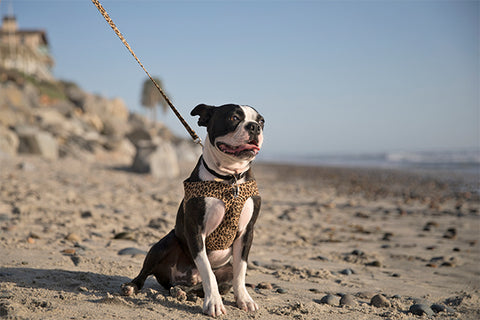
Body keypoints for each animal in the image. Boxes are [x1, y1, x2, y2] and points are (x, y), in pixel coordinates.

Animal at [123, 104, 266, 316]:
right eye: (233, 118)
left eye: (261, 121)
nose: (254, 127)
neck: (229, 178)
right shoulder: (196, 230)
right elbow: (207, 271)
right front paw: (214, 303)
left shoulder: (247, 232)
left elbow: (240, 271)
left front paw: (244, 299)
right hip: (163, 245)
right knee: (145, 272)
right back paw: (133, 287)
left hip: (225, 271)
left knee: (201, 285)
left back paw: (182, 291)